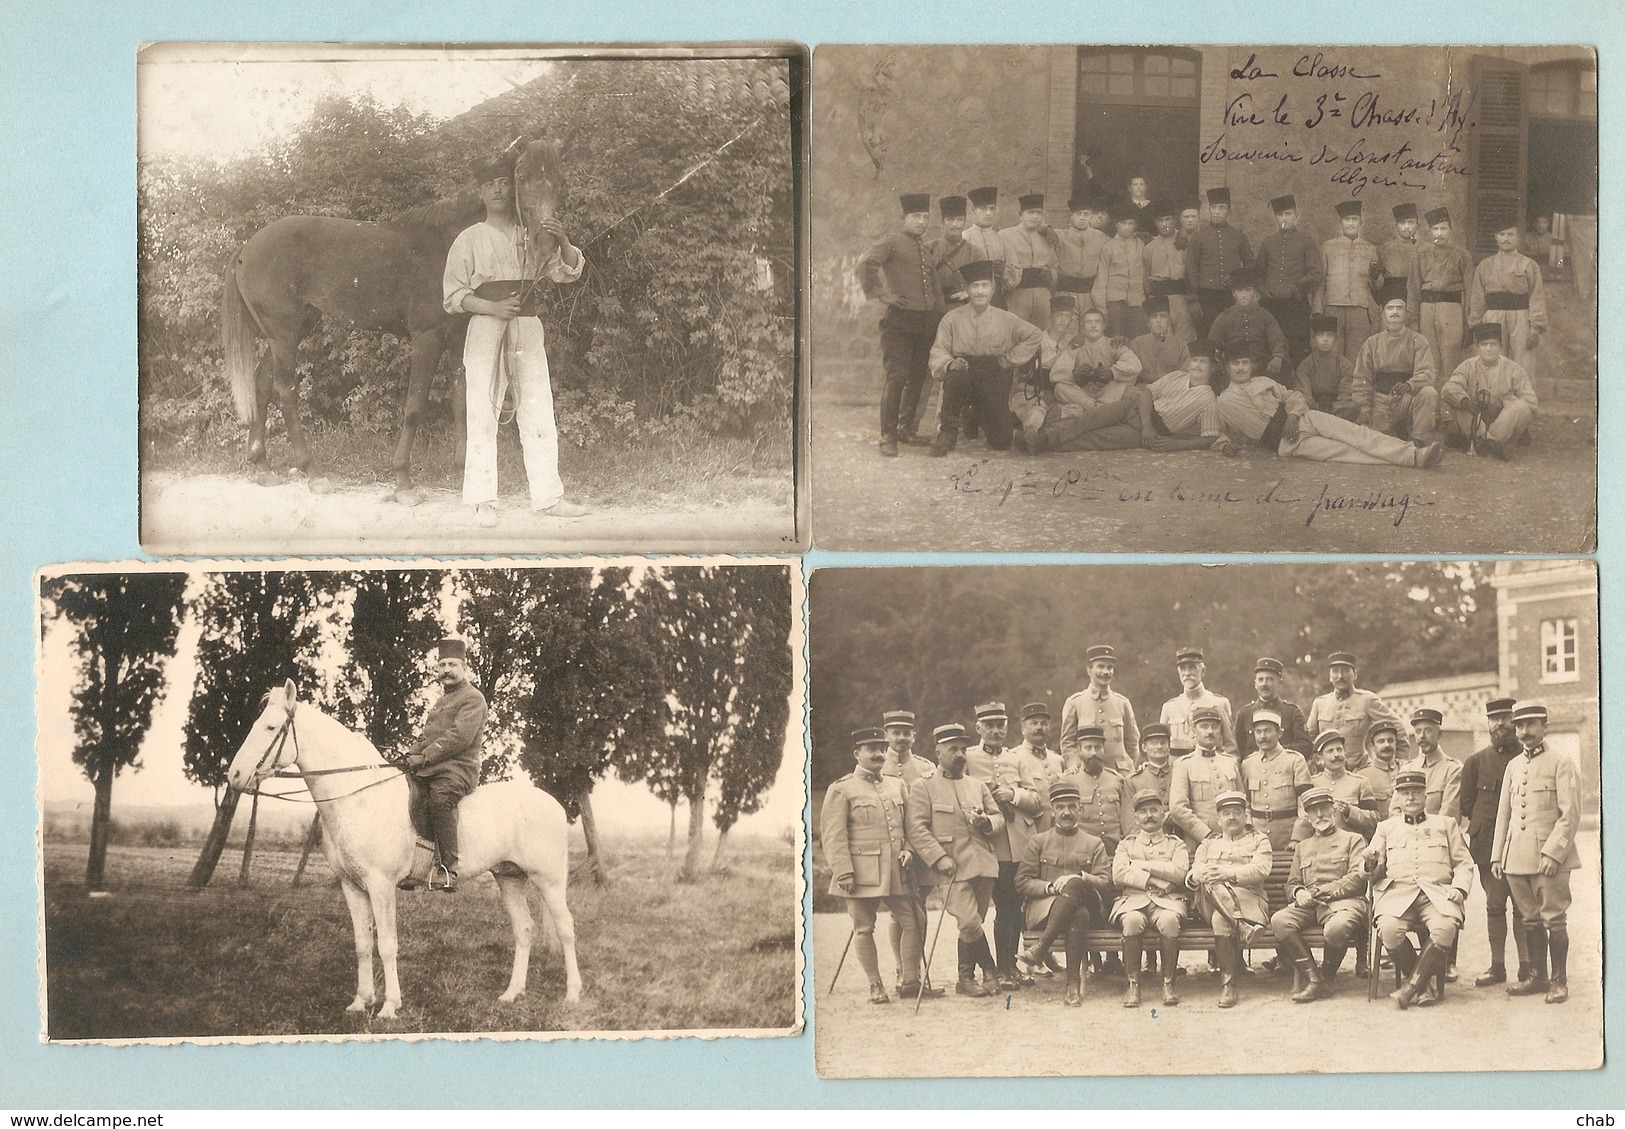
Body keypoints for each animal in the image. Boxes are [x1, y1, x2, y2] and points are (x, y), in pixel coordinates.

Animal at [222, 137, 565, 503]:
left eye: (556, 181)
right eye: (522, 178)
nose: (546, 245)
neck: (449, 244)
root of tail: (245, 249)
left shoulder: (458, 339)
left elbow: (461, 401)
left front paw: (462, 468)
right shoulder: (427, 338)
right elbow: (414, 406)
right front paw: (403, 480)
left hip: (287, 332)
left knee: (261, 384)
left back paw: (261, 465)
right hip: (284, 335)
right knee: (285, 392)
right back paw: (312, 471)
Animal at [225, 685, 581, 1020]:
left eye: (271, 727)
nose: (234, 776)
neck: (359, 796)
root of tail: (553, 803)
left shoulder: (381, 885)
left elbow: (387, 945)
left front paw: (389, 1006)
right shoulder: (352, 886)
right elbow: (363, 944)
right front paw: (361, 1001)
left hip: (547, 880)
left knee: (565, 928)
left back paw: (572, 994)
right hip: (509, 877)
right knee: (524, 930)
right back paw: (512, 993)